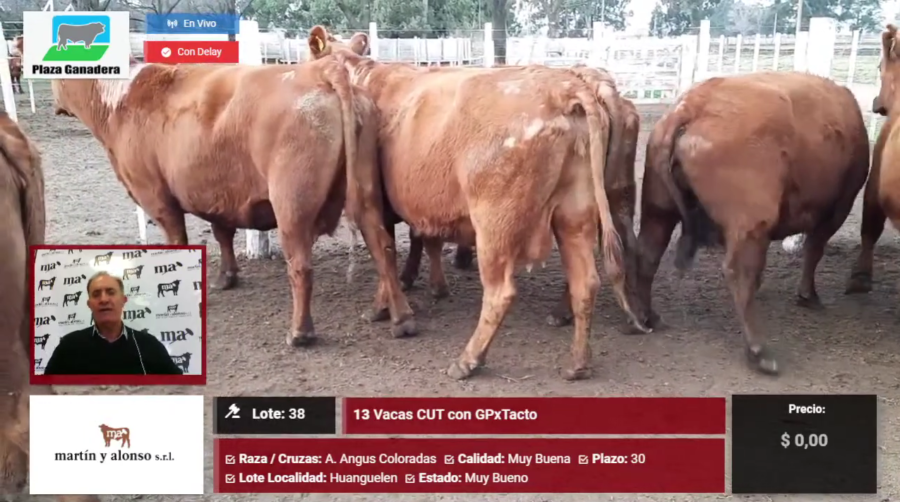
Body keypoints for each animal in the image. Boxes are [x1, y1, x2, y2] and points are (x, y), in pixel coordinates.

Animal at [49, 45, 415, 345]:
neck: (120, 99)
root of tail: (323, 71)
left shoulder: (157, 197)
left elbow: (177, 242)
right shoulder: (215, 194)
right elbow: (222, 232)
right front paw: (226, 276)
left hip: (291, 205)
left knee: (301, 265)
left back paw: (300, 332)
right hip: (365, 193)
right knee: (383, 247)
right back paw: (398, 318)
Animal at [308, 26, 646, 380]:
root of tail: (567, 88)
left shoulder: (374, 204)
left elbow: (383, 253)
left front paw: (384, 308)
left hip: (495, 224)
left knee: (500, 293)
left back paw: (468, 360)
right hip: (576, 215)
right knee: (587, 283)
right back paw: (578, 362)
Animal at [634, 71, 870, 375]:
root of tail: (694, 105)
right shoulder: (838, 208)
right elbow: (814, 250)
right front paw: (809, 296)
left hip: (659, 211)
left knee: (647, 255)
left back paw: (649, 317)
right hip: (751, 225)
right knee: (739, 273)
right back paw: (759, 352)